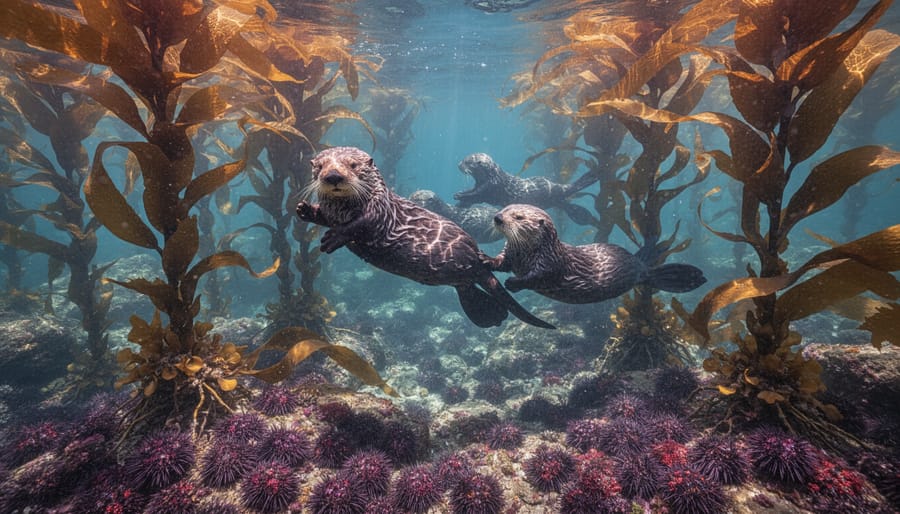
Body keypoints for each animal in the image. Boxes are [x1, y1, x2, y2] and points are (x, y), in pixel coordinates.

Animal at [295, 147, 554, 330]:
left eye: (353, 164)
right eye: (320, 166)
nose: (333, 176)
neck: (343, 209)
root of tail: (478, 259)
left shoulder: (379, 210)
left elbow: (360, 225)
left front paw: (332, 238)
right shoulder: (332, 212)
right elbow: (323, 216)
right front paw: (304, 209)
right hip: (465, 281)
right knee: (469, 289)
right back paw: (492, 316)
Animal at [454, 153, 597, 225]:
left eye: (467, 162)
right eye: (463, 160)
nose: (459, 164)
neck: (492, 175)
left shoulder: (491, 186)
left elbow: (478, 194)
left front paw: (459, 196)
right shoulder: (481, 184)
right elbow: (473, 192)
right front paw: (461, 200)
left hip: (552, 192)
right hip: (557, 201)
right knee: (569, 205)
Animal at [489, 204, 706, 303]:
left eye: (518, 217)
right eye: (505, 208)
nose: (497, 217)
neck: (524, 256)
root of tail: (642, 266)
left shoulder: (551, 262)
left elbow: (538, 277)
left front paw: (514, 282)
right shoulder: (510, 253)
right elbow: (502, 262)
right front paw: (487, 260)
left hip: (639, 273)